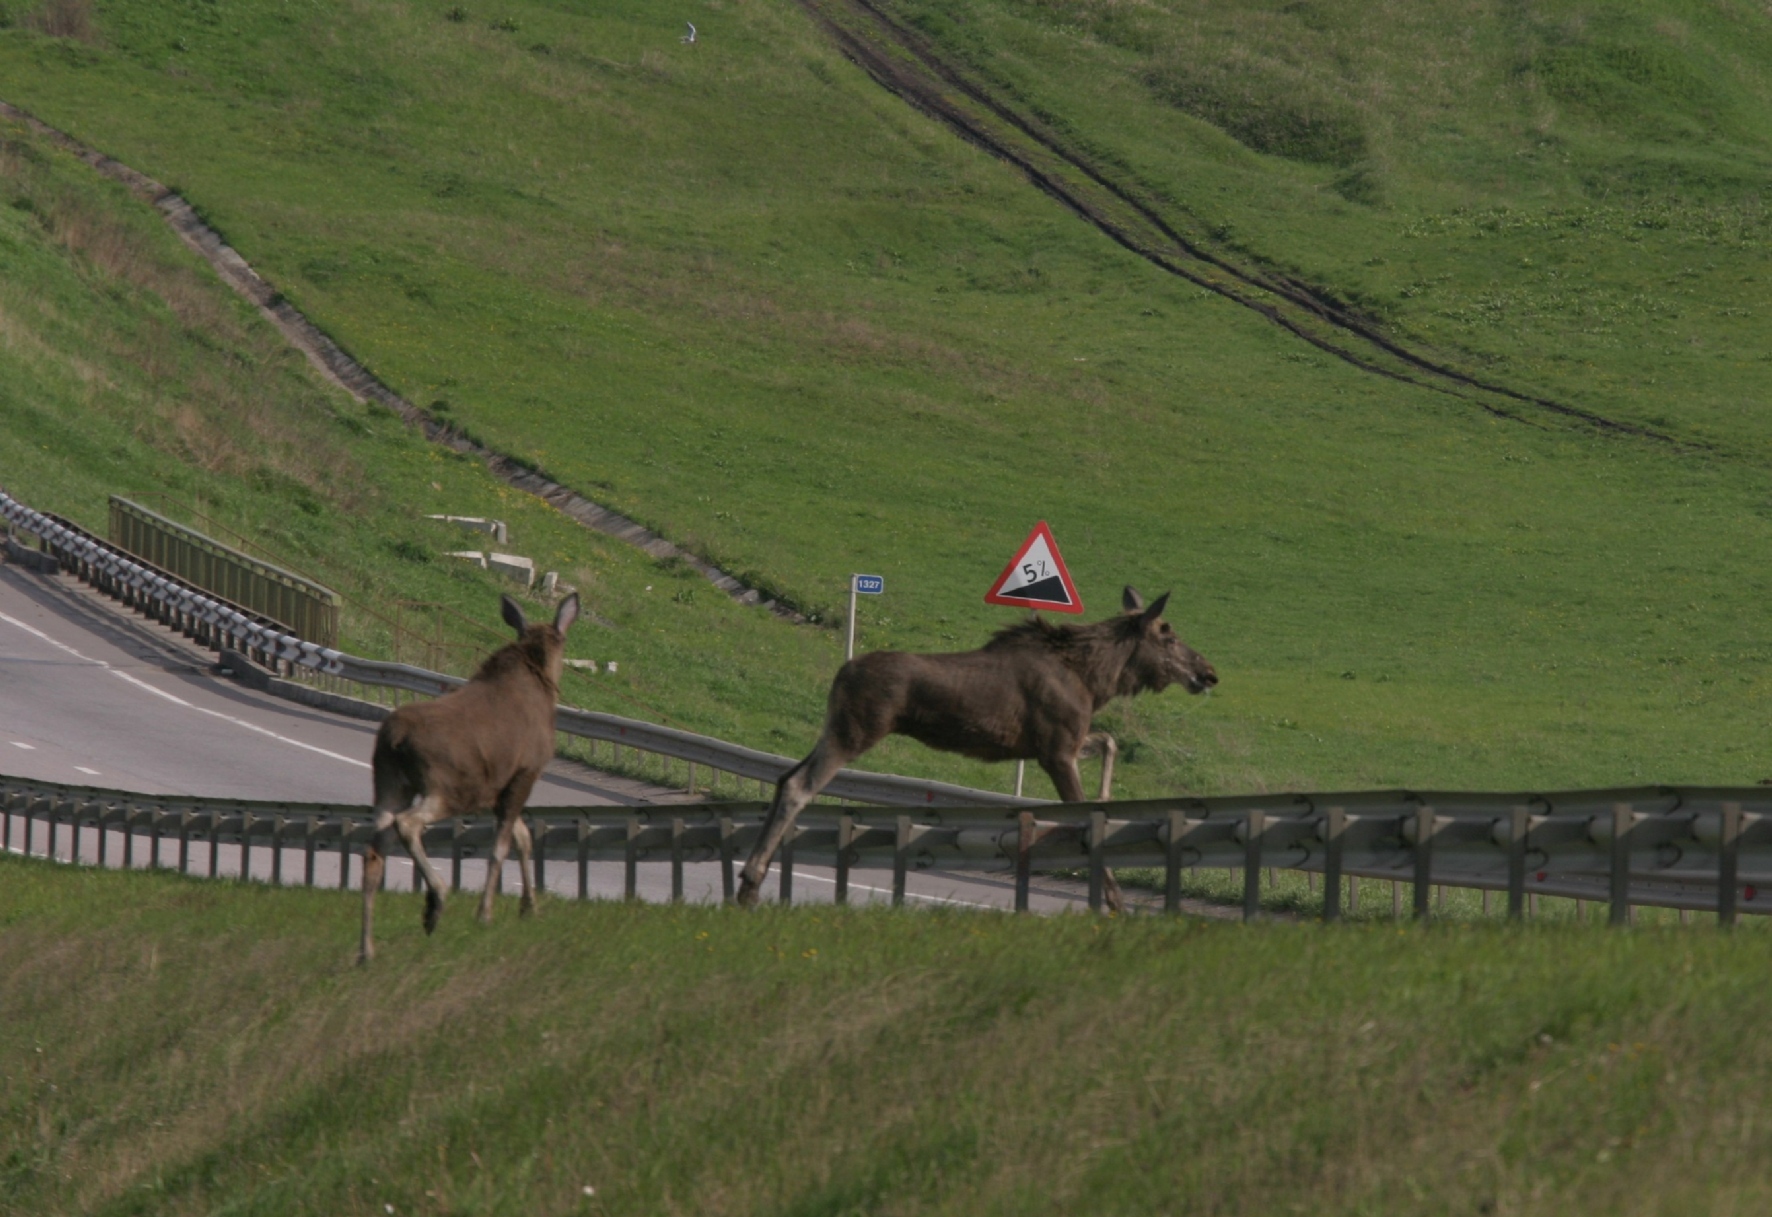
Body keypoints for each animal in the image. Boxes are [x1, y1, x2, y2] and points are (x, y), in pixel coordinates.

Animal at [359, 595, 581, 963]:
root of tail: (395, 739)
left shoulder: (496, 791)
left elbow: (523, 838)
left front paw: (529, 907)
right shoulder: (524, 774)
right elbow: (501, 848)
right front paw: (485, 913)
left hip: (389, 785)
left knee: (373, 853)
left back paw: (366, 950)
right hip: (448, 789)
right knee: (408, 824)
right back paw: (435, 900)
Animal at [737, 584, 1219, 906]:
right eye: (1168, 634)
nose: (1209, 672)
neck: (1096, 681)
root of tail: (841, 673)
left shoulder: (1059, 743)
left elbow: (1110, 742)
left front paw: (1105, 795)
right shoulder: (1056, 750)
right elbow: (1086, 817)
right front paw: (1115, 902)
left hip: (833, 729)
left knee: (784, 776)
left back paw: (748, 882)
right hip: (854, 732)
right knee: (799, 785)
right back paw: (752, 878)